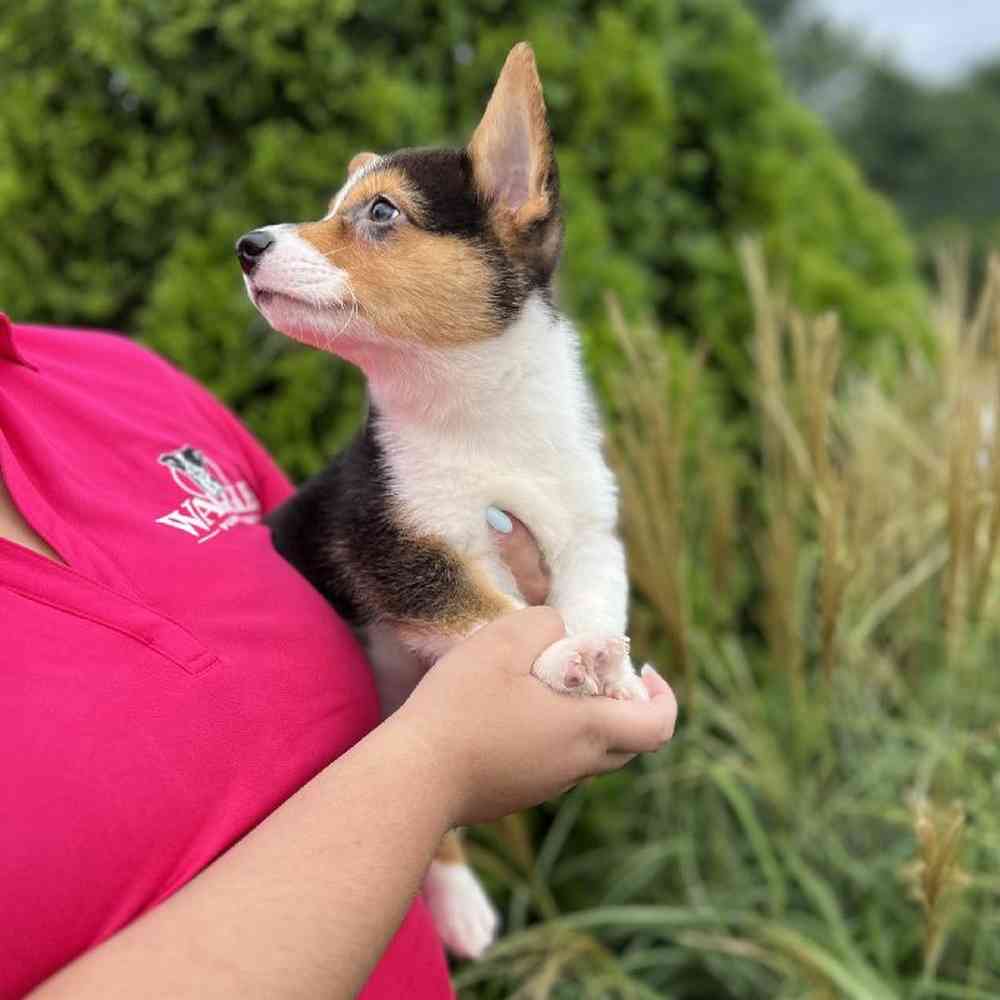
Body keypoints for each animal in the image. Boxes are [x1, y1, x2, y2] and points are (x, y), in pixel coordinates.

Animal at [236, 43, 648, 956]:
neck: (476, 413)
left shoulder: (587, 528)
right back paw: (459, 901)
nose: (246, 244)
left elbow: (594, 594)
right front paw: (562, 658)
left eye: (380, 212)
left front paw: (611, 664)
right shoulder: (397, 543)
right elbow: (492, 611)